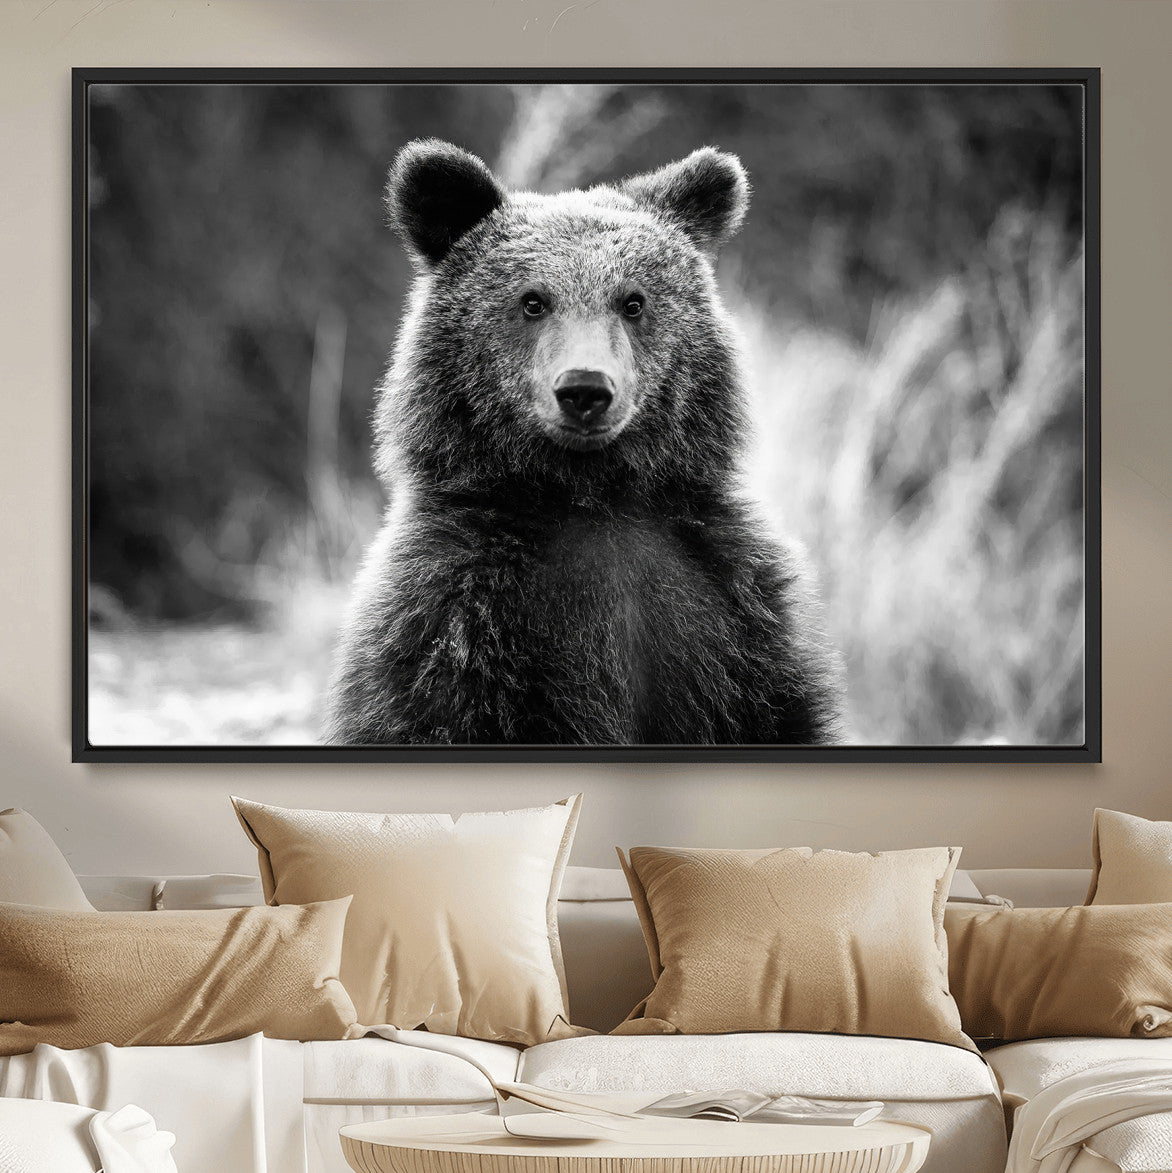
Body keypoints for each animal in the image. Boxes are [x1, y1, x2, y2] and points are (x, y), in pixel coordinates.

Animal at [324, 139, 843, 746]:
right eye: (532, 301)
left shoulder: (732, 610)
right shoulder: (453, 621)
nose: (585, 389)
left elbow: (778, 712)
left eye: (633, 301)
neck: (590, 496)